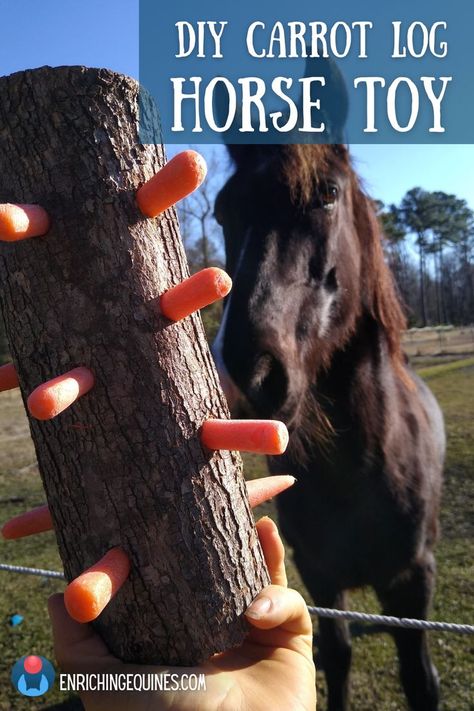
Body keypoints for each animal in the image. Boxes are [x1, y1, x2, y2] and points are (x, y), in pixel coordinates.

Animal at [213, 142, 446, 708]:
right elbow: (335, 658)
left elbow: (419, 680)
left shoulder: (412, 580)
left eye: (327, 194)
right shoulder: (318, 574)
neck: (354, 470)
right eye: (223, 212)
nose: (246, 375)